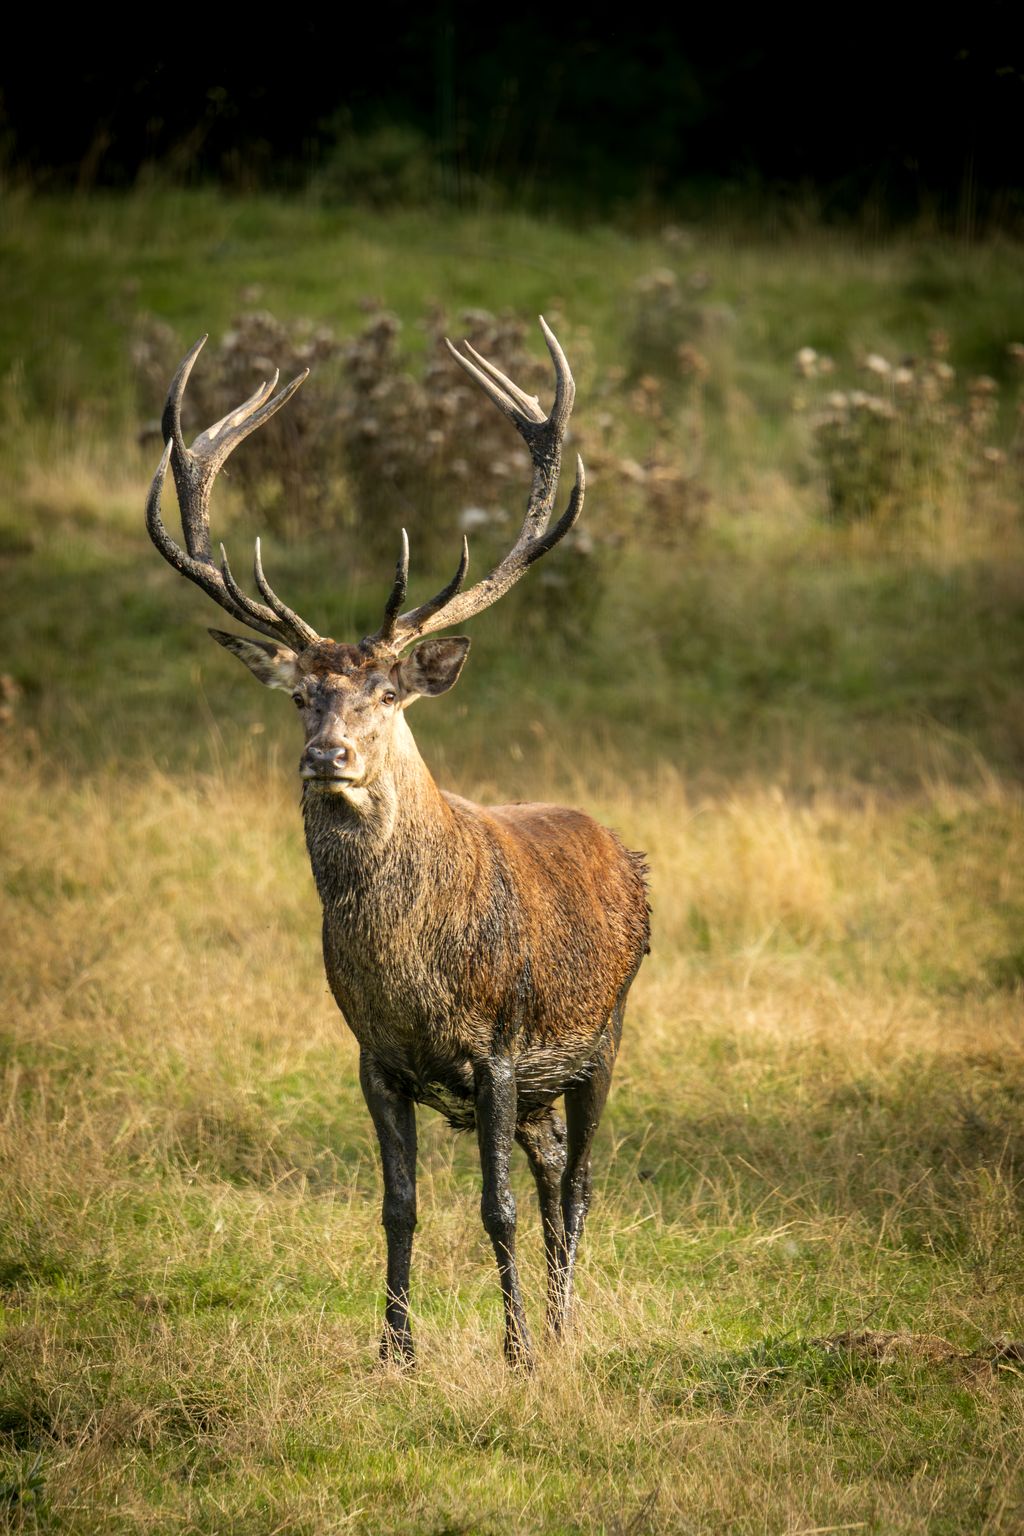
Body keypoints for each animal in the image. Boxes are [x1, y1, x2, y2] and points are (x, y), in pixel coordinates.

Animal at [145, 319, 650, 1370]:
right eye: (302, 695)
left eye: (385, 693)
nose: (325, 756)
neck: (413, 971)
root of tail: (625, 852)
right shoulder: (372, 1056)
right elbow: (398, 1207)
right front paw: (395, 1353)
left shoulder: (498, 1046)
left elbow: (494, 1208)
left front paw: (515, 1354)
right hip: (546, 1082)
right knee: (552, 1170)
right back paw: (553, 1315)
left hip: (603, 1033)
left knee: (577, 1179)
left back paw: (562, 1327)